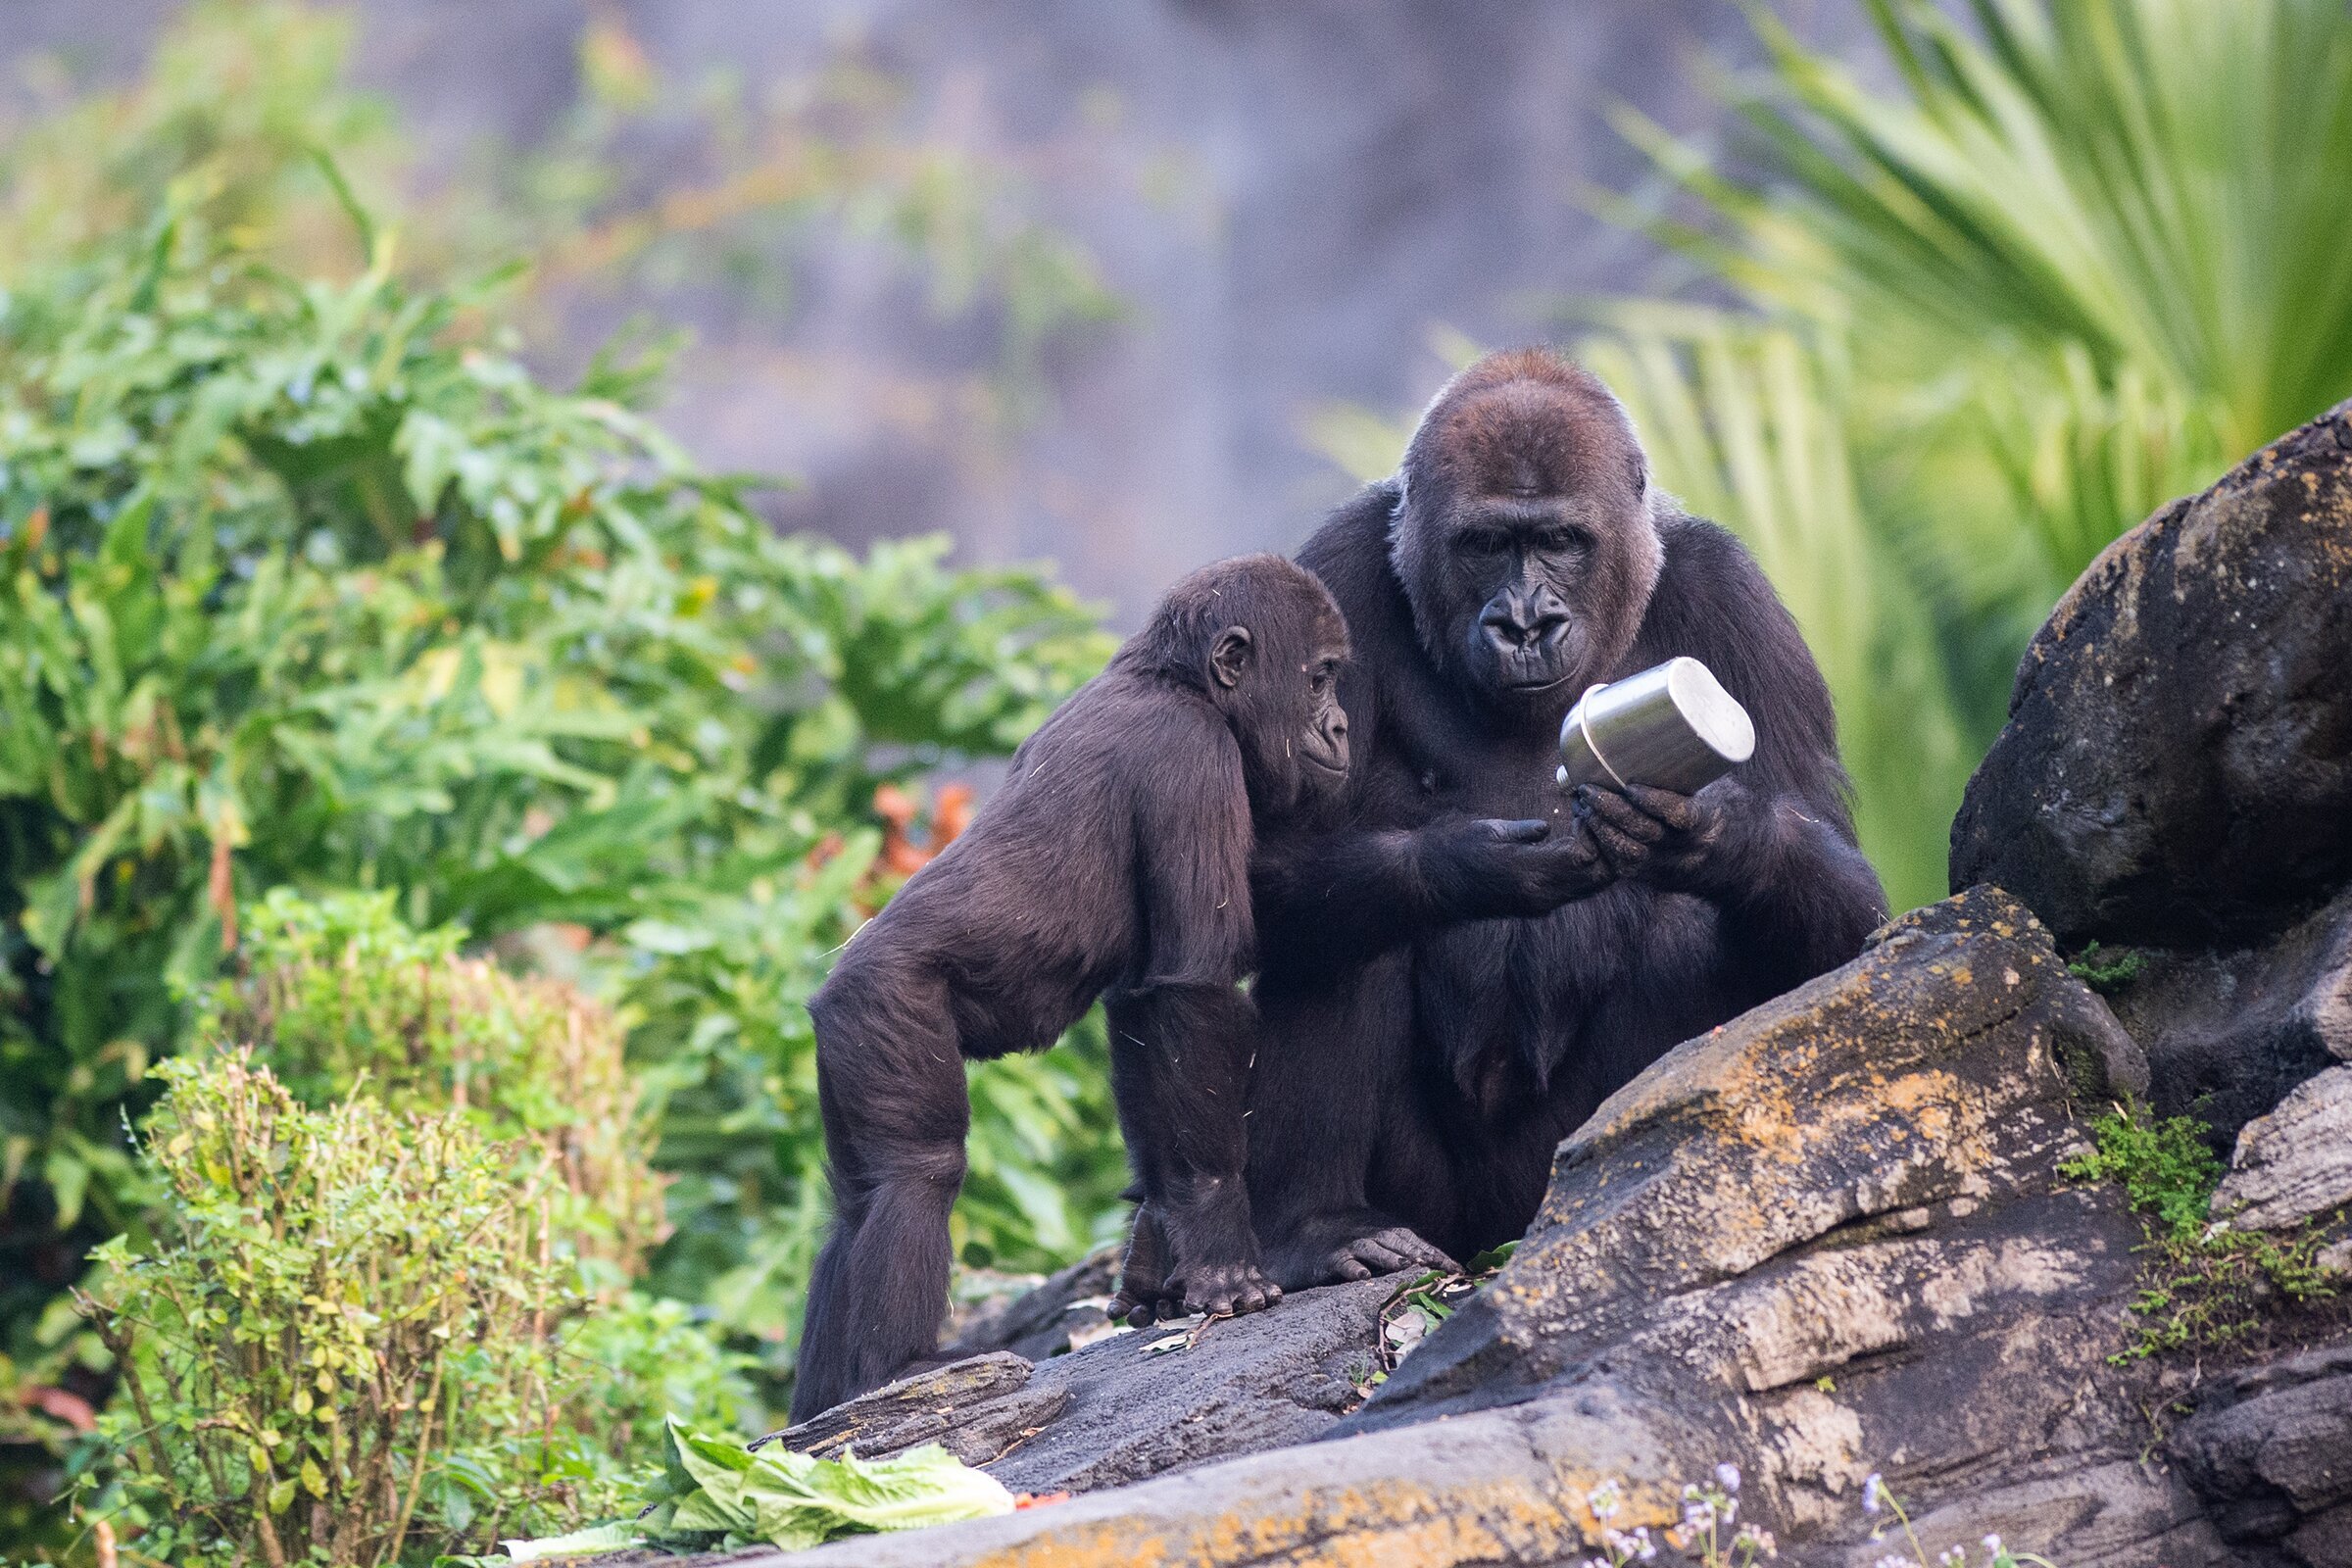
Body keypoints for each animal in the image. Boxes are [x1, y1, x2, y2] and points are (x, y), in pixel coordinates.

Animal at [790, 552, 1354, 1419]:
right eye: (1321, 677)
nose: (1341, 728)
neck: (1177, 680)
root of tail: (836, 979)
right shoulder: (1192, 762)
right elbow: (1192, 990)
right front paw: (1222, 1250)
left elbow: (1145, 1011)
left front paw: (1156, 1239)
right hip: (885, 1004)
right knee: (914, 1175)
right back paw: (901, 1366)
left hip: (847, 1032)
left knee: (853, 1205)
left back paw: (822, 1409)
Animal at [1250, 345, 1890, 1288]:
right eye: (1487, 544)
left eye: (1559, 541)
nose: (1525, 622)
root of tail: (1494, 1247)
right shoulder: (1338, 570)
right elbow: (1268, 869)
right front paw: (1466, 866)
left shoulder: (1735, 597)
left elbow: (1845, 916)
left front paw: (1716, 836)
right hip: (1445, 1217)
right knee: (1344, 928)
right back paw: (1325, 1227)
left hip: (1549, 1189)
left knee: (1690, 930)